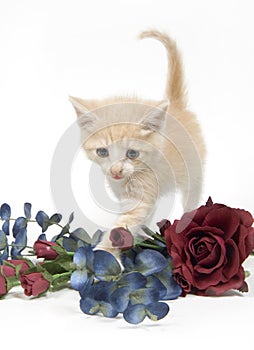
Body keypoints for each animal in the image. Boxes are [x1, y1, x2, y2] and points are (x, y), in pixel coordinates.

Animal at [69, 30, 206, 254]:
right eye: (102, 152)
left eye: (132, 154)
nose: (116, 171)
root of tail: (176, 106)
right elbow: (137, 217)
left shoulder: (144, 188)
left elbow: (123, 224)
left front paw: (104, 253)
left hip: (194, 171)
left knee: (191, 197)